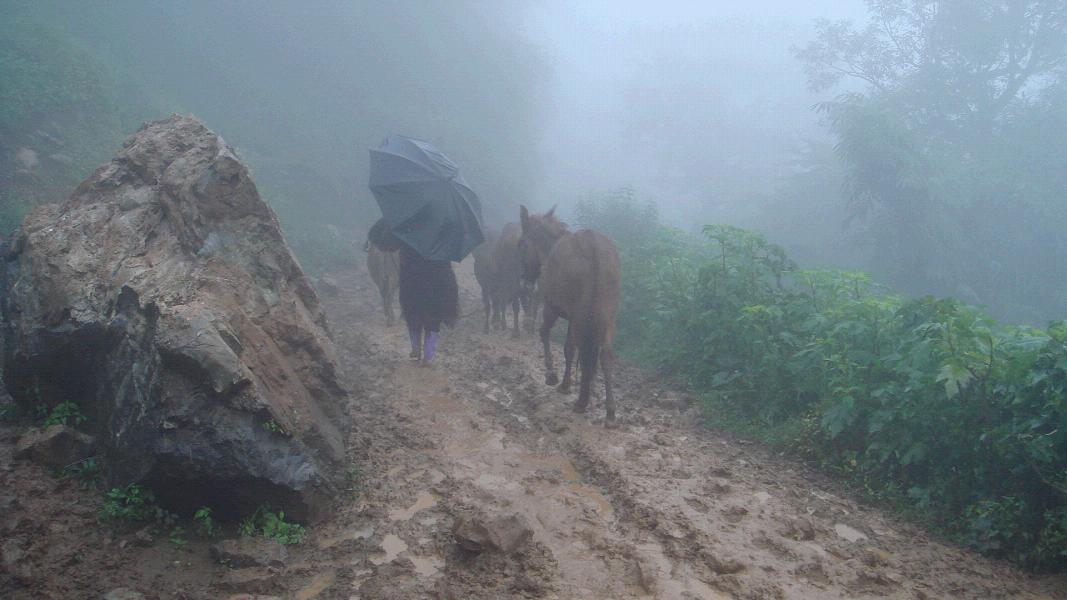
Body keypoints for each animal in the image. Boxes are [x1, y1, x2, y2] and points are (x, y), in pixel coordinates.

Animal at [518, 202, 623, 418]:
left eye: (521, 244)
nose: (525, 283)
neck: (550, 248)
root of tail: (594, 249)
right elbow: (571, 349)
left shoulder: (553, 309)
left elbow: (551, 337)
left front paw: (554, 376)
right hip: (606, 319)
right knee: (605, 355)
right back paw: (609, 409)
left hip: (580, 318)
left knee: (584, 352)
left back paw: (582, 401)